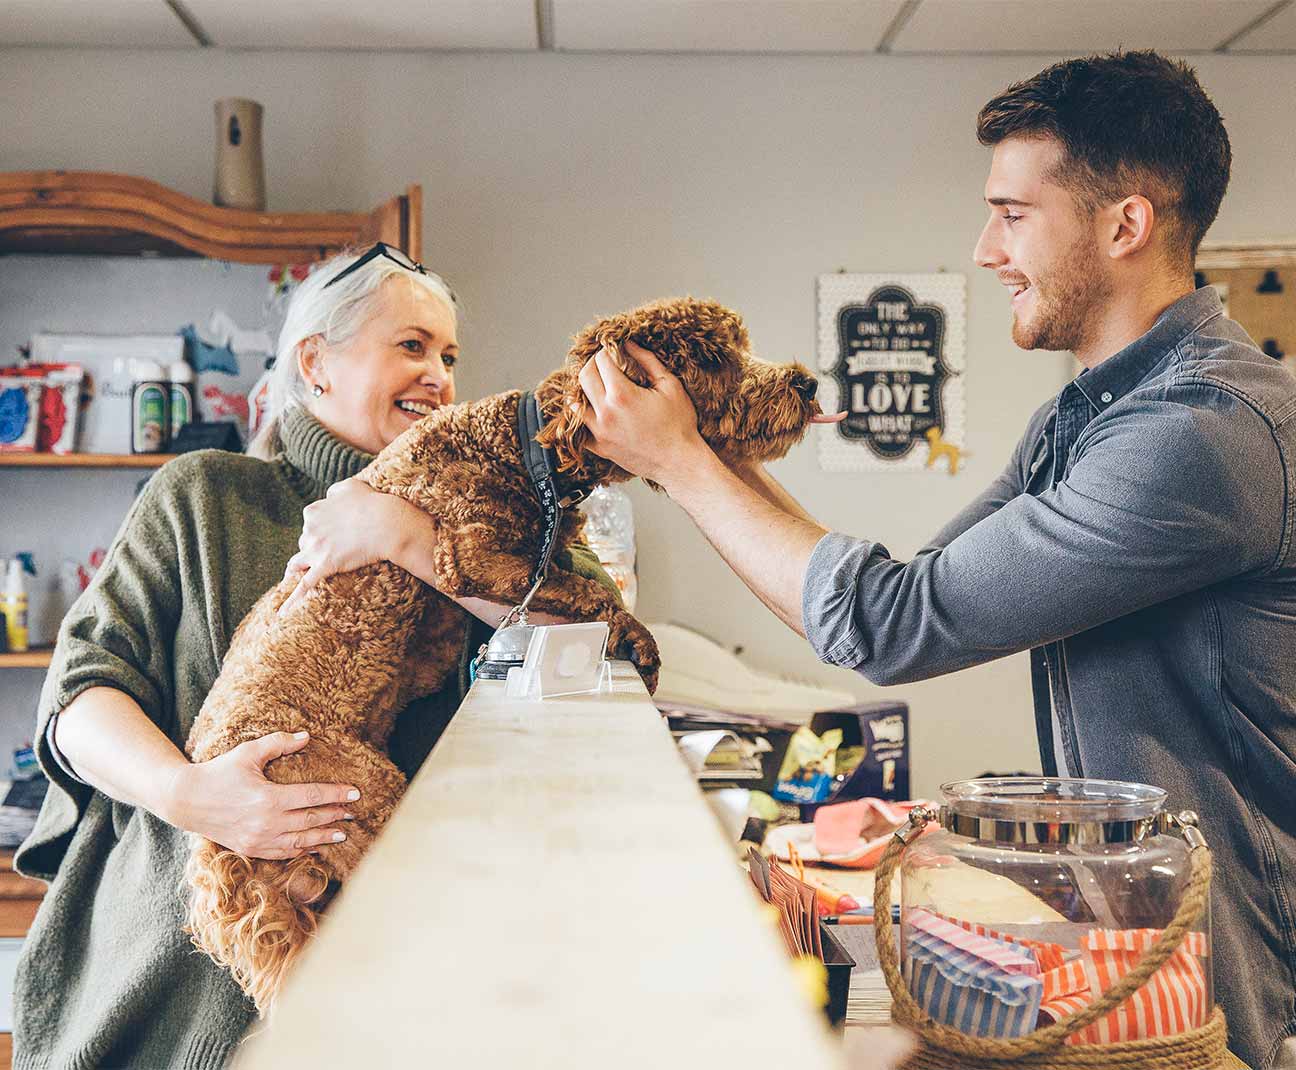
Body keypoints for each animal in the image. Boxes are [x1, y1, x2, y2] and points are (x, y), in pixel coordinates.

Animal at [182, 294, 829, 1010]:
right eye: (715, 357)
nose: (807, 384)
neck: (526, 448)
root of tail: (219, 847)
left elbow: (577, 582)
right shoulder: (474, 555)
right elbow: (589, 591)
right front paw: (640, 640)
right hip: (356, 794)